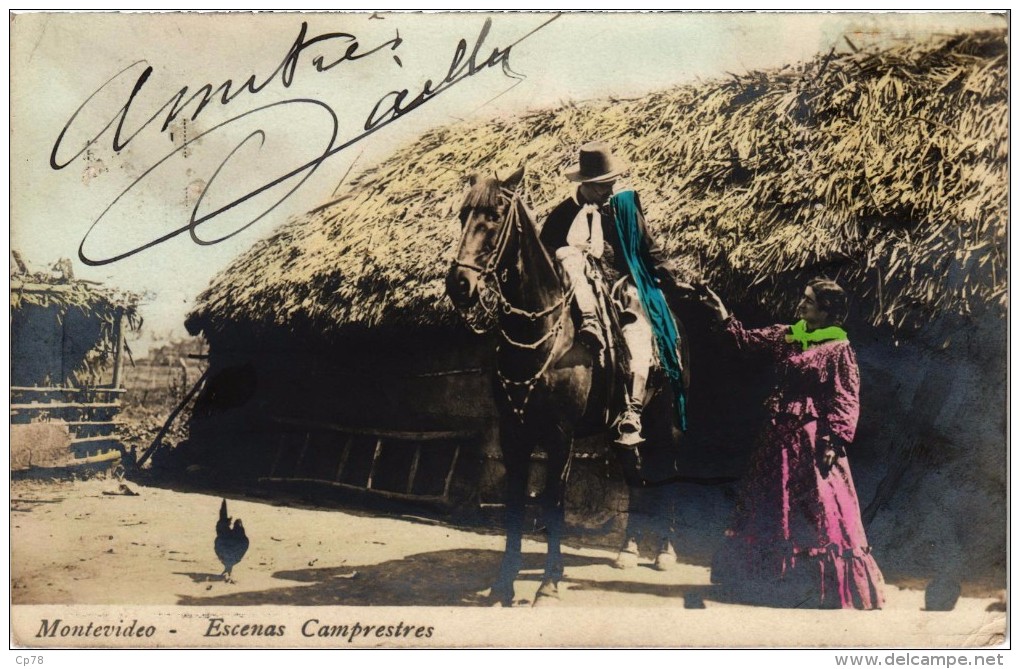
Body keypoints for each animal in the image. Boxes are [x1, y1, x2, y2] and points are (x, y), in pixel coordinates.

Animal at [444, 168, 689, 607]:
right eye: (462, 216)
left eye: (495, 216)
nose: (459, 284)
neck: (540, 333)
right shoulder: (513, 433)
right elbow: (516, 504)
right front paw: (504, 584)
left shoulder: (560, 435)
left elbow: (554, 502)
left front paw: (548, 584)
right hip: (621, 432)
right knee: (635, 475)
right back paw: (627, 551)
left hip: (668, 425)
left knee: (668, 475)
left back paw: (664, 551)